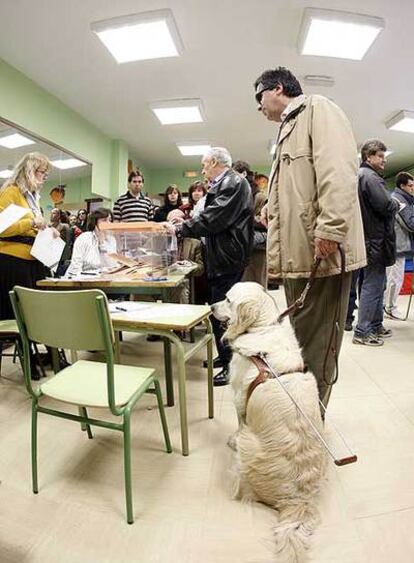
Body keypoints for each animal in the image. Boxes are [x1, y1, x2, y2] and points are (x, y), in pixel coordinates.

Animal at [213, 284, 326, 560]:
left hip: (248, 447)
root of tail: (298, 500)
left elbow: (239, 422)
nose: (210, 307)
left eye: (227, 299)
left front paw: (230, 440)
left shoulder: (239, 396)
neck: (261, 328)